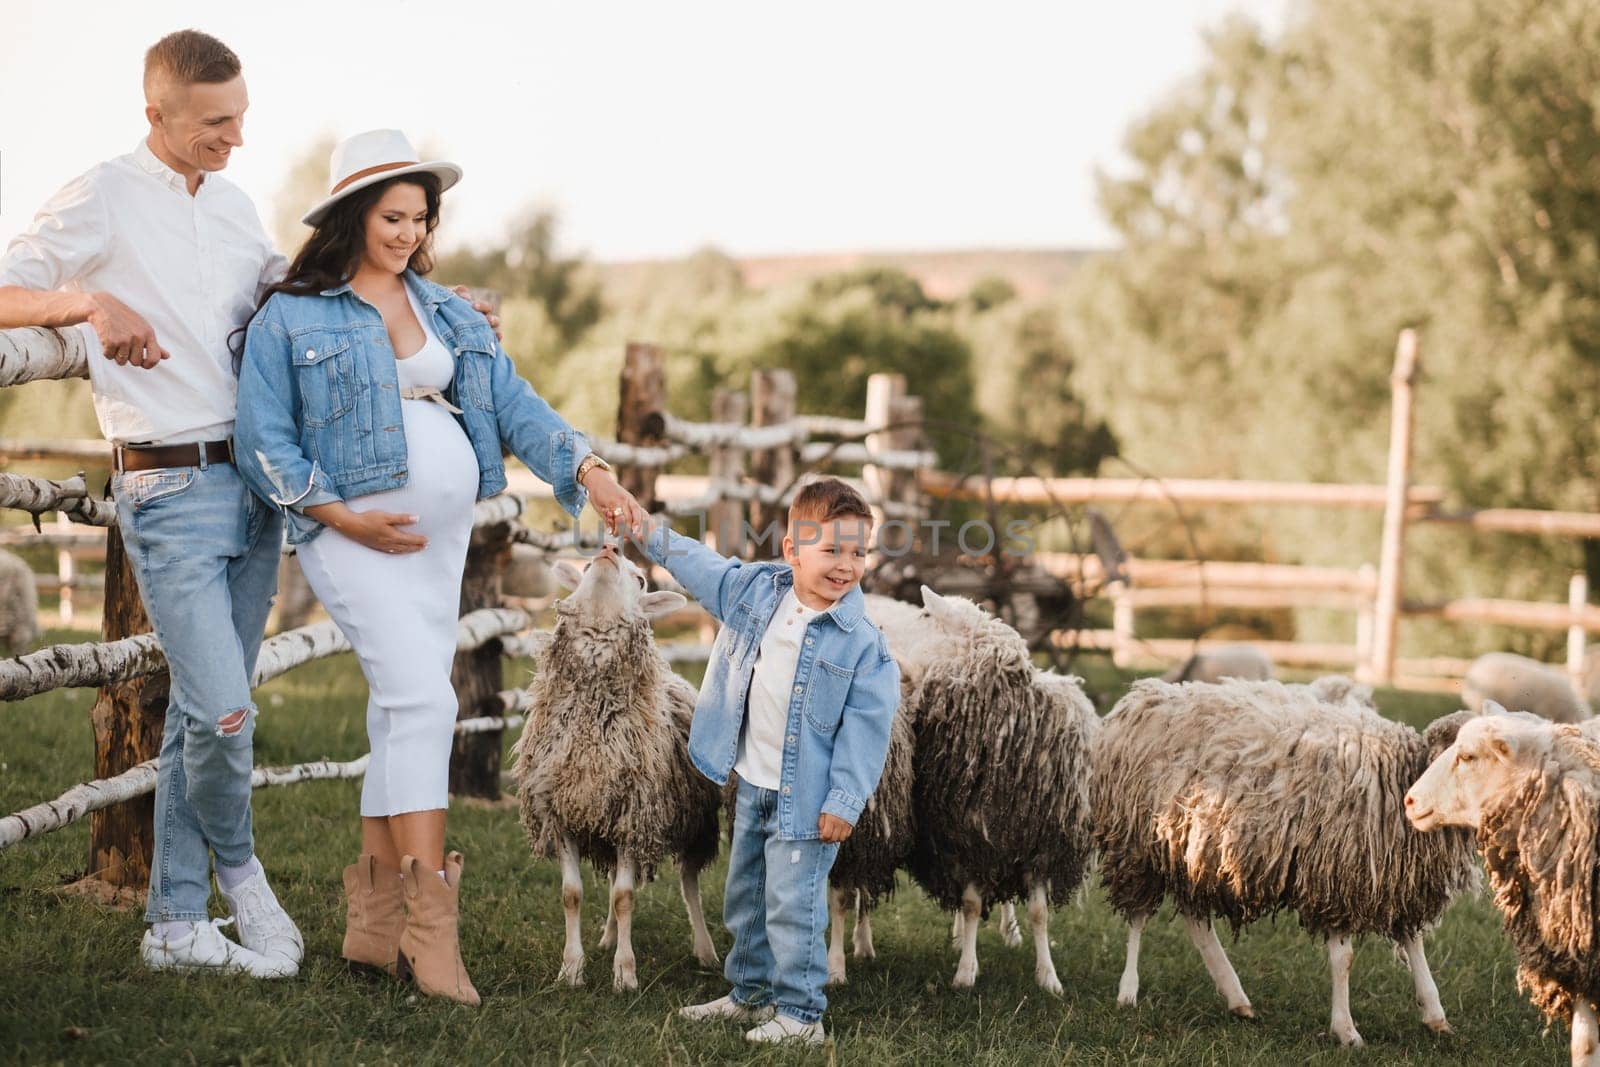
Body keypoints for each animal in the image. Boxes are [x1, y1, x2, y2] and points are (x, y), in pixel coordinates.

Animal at [512, 547, 720, 998]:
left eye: (640, 579)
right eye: (589, 565)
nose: (609, 549)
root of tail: (676, 676)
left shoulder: (634, 816)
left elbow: (626, 897)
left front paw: (625, 974)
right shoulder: (563, 812)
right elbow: (572, 894)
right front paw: (571, 969)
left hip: (694, 823)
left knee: (689, 885)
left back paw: (705, 950)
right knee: (610, 886)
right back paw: (608, 937)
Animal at [902, 585, 1100, 991]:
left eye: (926, 615)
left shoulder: (1042, 844)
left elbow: (1039, 912)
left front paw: (1049, 977)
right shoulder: (966, 841)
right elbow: (971, 905)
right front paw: (965, 971)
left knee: (1009, 898)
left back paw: (1011, 932)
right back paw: (961, 936)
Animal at [1094, 681, 1478, 1049]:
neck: (1400, 778)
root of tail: (1142, 697)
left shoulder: (1400, 881)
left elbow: (1415, 947)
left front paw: (1435, 1014)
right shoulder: (1332, 877)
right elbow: (1345, 960)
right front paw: (1346, 1031)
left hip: (1194, 852)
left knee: (1196, 921)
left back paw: (1236, 997)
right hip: (1138, 846)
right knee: (1138, 917)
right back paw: (1128, 990)